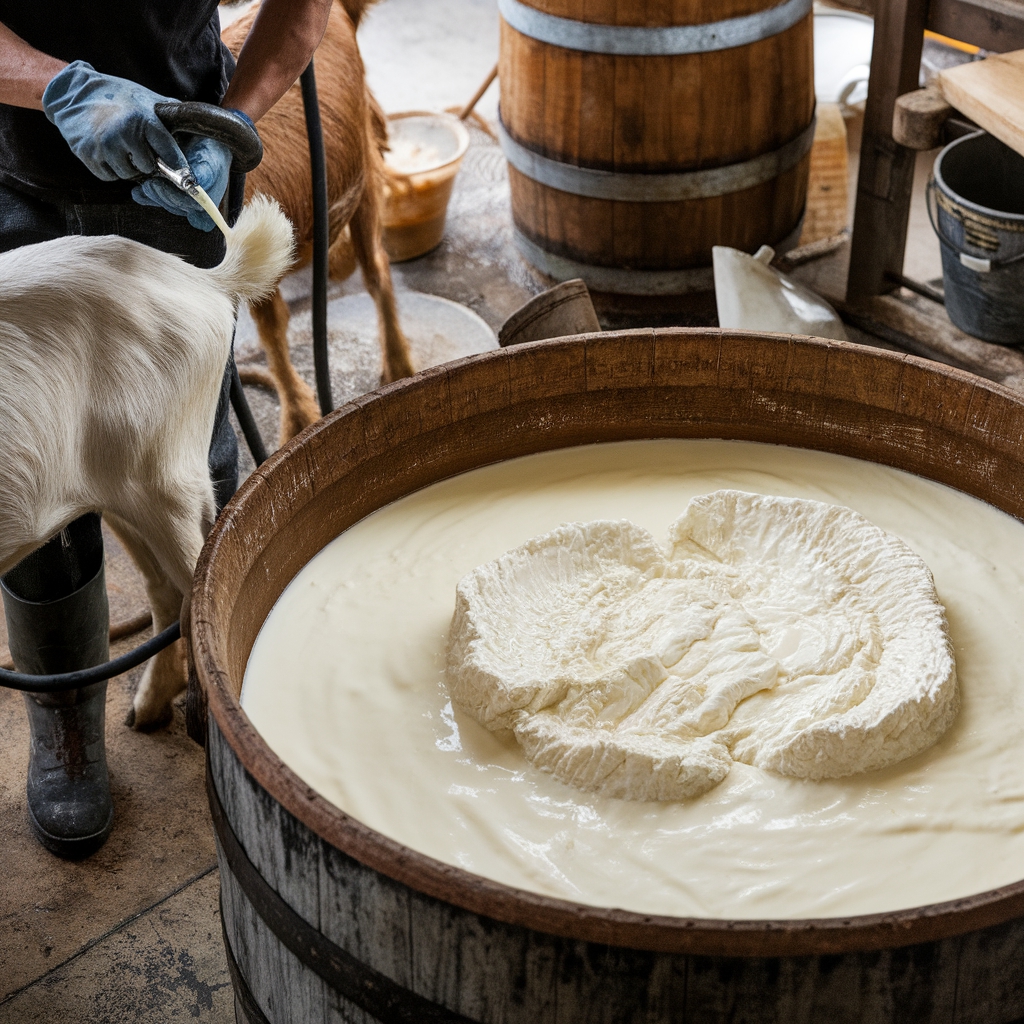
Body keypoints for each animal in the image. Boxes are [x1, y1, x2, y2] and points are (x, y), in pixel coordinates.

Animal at [1, 195, 296, 729]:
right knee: (166, 590)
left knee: (203, 581)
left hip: (164, 477)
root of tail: (203, 280)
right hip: (113, 486)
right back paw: (149, 707)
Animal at [223, 0, 411, 442]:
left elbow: (271, 327)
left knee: (377, 271)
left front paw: (299, 421)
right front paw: (300, 420)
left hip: (364, 174)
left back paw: (399, 367)